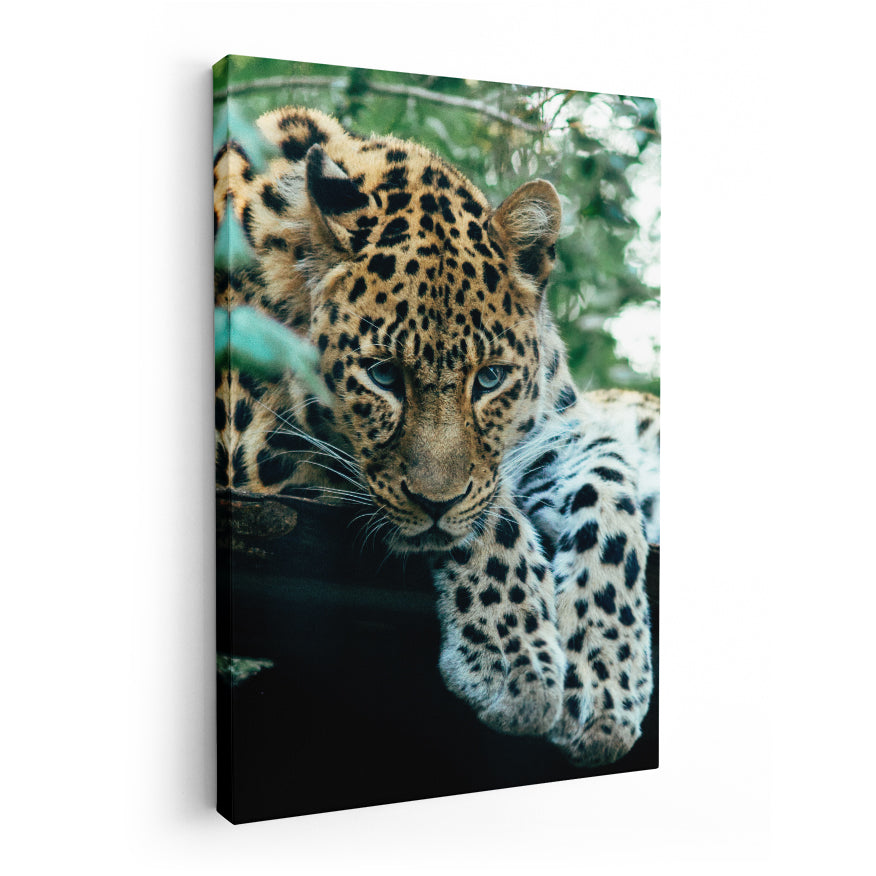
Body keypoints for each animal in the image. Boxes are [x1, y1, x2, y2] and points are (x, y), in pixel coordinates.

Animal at [214, 106, 659, 766]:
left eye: (490, 378)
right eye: (382, 375)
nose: (435, 503)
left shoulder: (558, 432)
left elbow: (608, 491)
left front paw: (607, 681)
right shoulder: (255, 448)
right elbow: (491, 514)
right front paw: (517, 665)